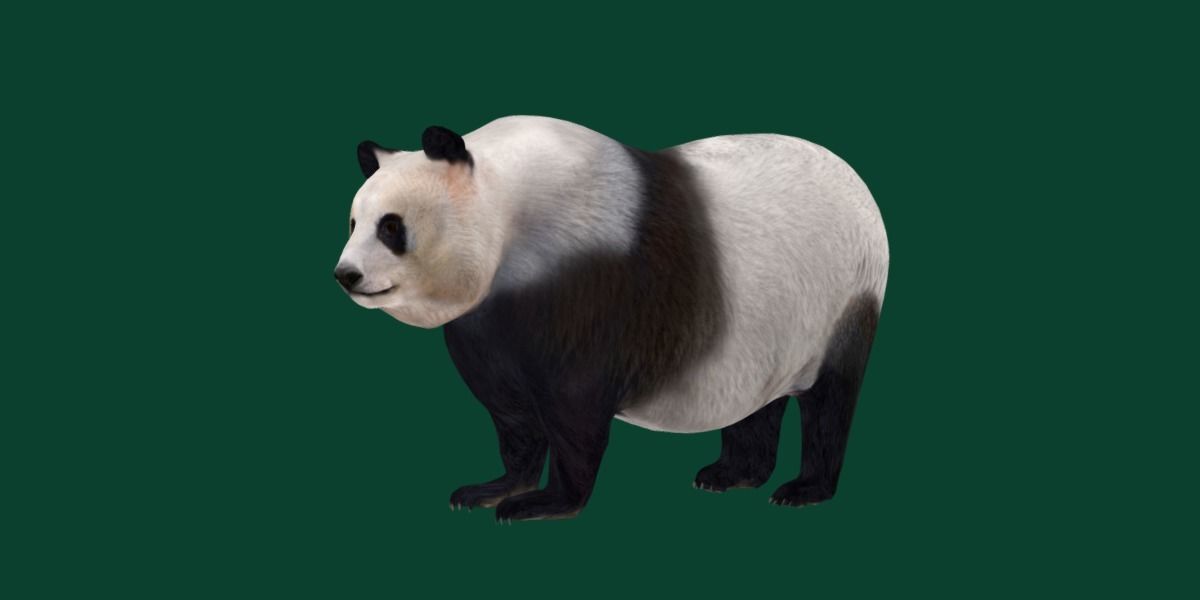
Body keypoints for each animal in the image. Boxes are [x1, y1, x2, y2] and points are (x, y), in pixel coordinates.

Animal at [334, 116, 888, 522]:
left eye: (391, 227)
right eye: (354, 221)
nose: (346, 275)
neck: (511, 205)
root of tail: (860, 186)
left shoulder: (586, 281)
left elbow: (574, 410)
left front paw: (544, 502)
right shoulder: (488, 325)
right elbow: (512, 413)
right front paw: (491, 488)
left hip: (842, 293)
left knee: (829, 400)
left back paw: (802, 489)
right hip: (770, 326)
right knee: (758, 397)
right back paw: (731, 475)